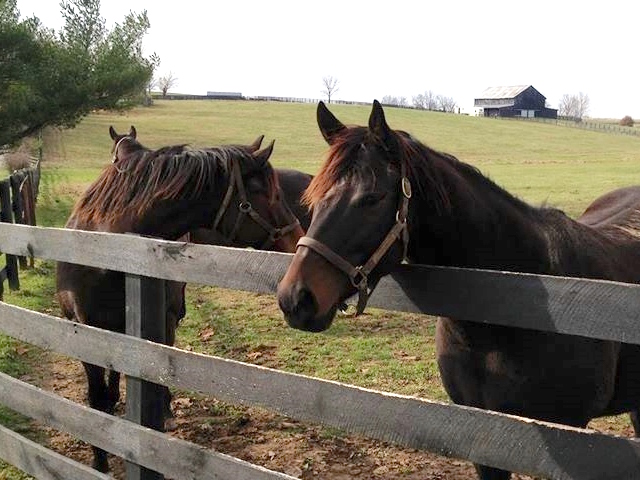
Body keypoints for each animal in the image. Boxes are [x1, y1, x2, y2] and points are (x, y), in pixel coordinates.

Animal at [56, 133, 304, 470]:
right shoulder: (84, 330)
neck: (106, 253)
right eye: (266, 192)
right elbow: (97, 398)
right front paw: (100, 461)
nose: (296, 240)